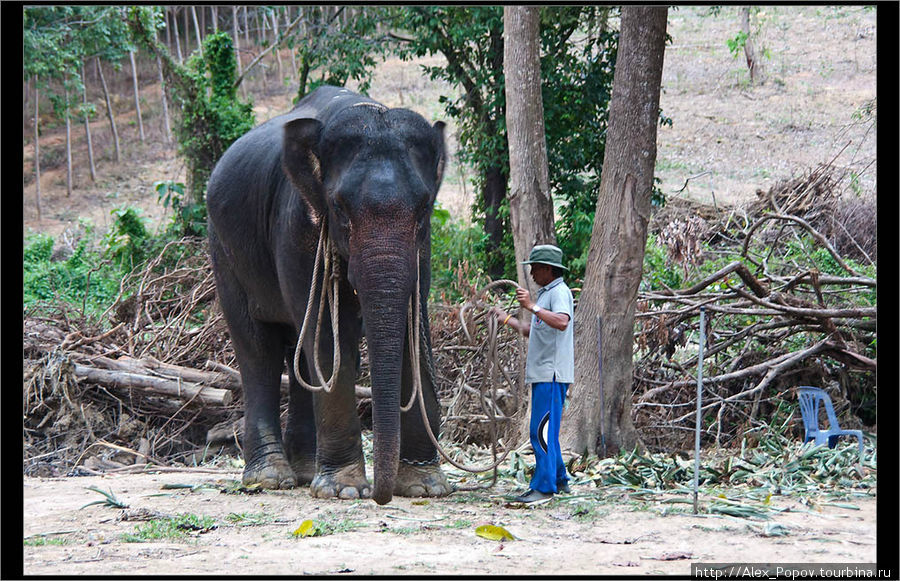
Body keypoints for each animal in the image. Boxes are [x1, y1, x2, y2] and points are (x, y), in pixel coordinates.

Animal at [207, 85, 454, 502]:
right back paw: (270, 479)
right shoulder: (296, 227)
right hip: (224, 253)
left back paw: (305, 472)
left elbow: (413, 324)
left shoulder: (424, 247)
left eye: (423, 208)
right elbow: (327, 335)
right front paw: (344, 489)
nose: (382, 496)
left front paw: (424, 486)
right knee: (259, 347)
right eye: (339, 207)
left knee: (299, 350)